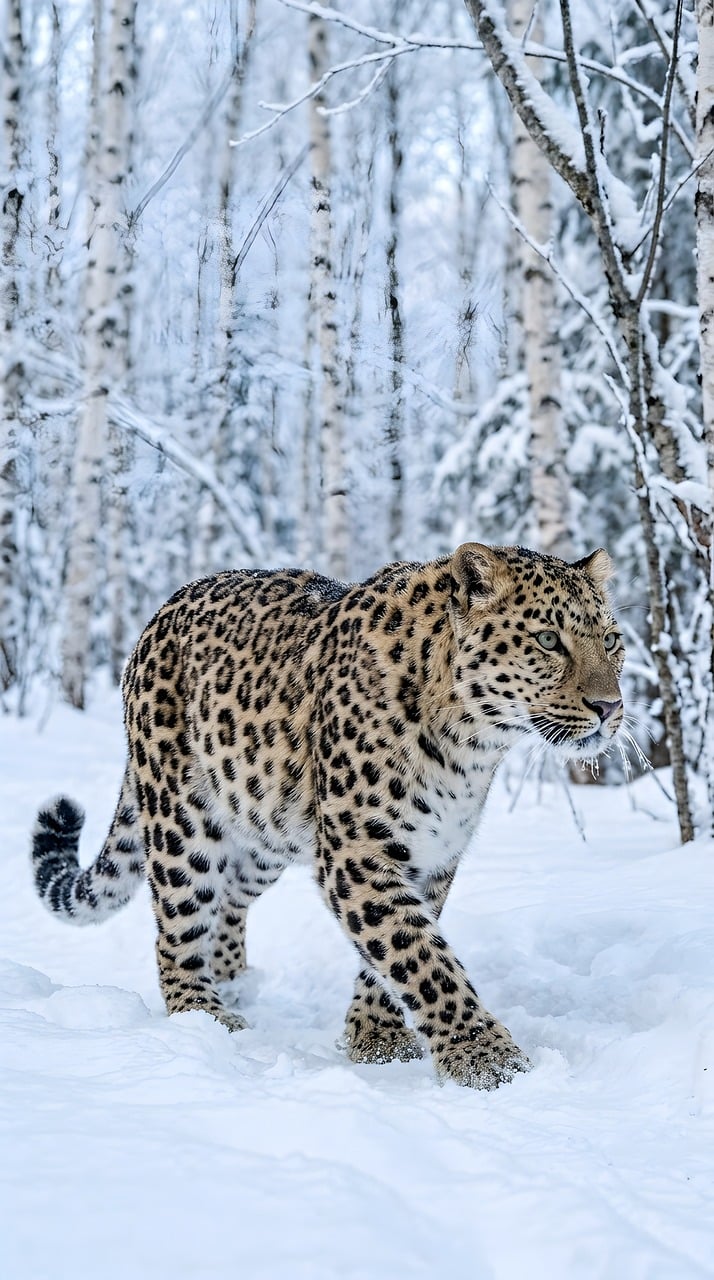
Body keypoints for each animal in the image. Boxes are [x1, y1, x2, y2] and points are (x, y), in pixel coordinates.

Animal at [31, 542, 624, 1089]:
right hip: (183, 822)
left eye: (611, 641)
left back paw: (236, 983)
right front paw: (488, 1061)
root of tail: (160, 612)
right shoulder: (357, 853)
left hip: (263, 832)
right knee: (178, 924)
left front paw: (377, 1038)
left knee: (229, 901)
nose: (610, 708)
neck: (472, 742)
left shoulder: (429, 857)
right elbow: (421, 957)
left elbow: (392, 953)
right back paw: (203, 1016)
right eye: (548, 640)